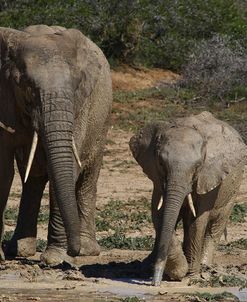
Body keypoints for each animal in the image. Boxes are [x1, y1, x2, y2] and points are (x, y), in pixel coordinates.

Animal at [0, 24, 112, 264]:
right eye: (26, 86)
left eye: (77, 85)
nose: (73, 251)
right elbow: (3, 170)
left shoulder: (80, 106)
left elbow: (68, 167)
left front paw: (54, 259)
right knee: (32, 177)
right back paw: (20, 250)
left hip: (102, 118)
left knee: (89, 173)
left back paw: (87, 249)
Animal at [130, 111, 246, 286]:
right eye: (161, 163)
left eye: (197, 166)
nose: (155, 283)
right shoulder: (157, 177)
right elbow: (159, 215)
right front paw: (175, 271)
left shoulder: (208, 177)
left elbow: (197, 221)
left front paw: (190, 275)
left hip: (234, 186)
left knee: (216, 225)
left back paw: (205, 267)